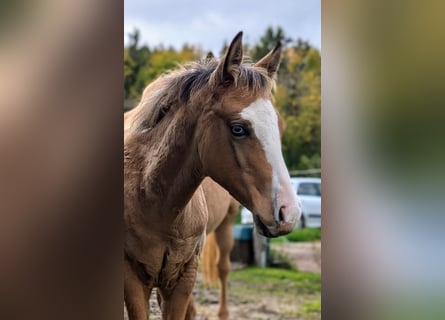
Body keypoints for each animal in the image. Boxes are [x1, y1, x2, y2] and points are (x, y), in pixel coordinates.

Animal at [123, 30, 300, 320]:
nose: (289, 213)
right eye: (238, 128)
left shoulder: (183, 275)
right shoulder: (133, 277)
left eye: (279, 126)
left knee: (222, 268)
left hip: (225, 225)